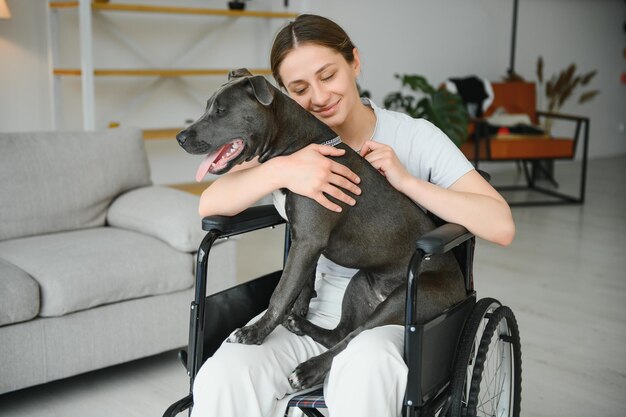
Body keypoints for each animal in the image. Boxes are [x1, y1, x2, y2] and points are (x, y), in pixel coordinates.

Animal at [176, 68, 464, 390]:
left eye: (221, 111)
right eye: (208, 107)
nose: (180, 137)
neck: (296, 147)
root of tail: (463, 290)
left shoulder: (308, 240)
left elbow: (281, 292)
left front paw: (256, 333)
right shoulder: (304, 240)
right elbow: (302, 283)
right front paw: (298, 311)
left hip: (404, 302)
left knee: (352, 338)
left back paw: (308, 370)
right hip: (361, 284)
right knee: (340, 333)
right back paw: (301, 326)